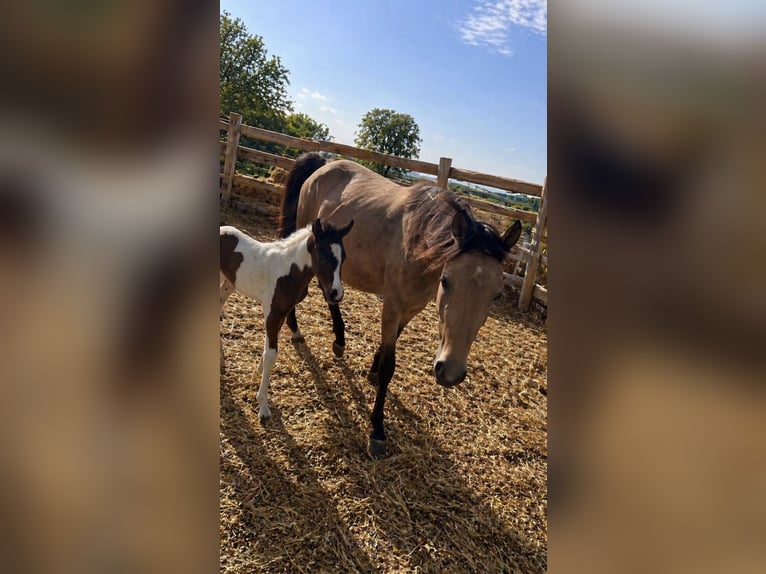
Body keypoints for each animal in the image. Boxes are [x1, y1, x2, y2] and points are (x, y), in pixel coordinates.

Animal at [220, 217, 354, 420]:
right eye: (322, 256)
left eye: (343, 258)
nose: (336, 294)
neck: (290, 271)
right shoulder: (272, 314)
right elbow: (271, 355)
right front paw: (263, 405)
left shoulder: (281, 313)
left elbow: (267, 349)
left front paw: (256, 374)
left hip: (229, 283)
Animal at [278, 153, 522, 457]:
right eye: (446, 281)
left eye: (496, 295)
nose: (450, 372)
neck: (419, 244)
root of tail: (324, 163)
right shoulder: (392, 305)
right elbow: (389, 367)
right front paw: (377, 429)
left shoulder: (410, 309)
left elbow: (388, 346)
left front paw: (371, 370)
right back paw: (297, 329)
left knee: (329, 295)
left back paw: (339, 340)